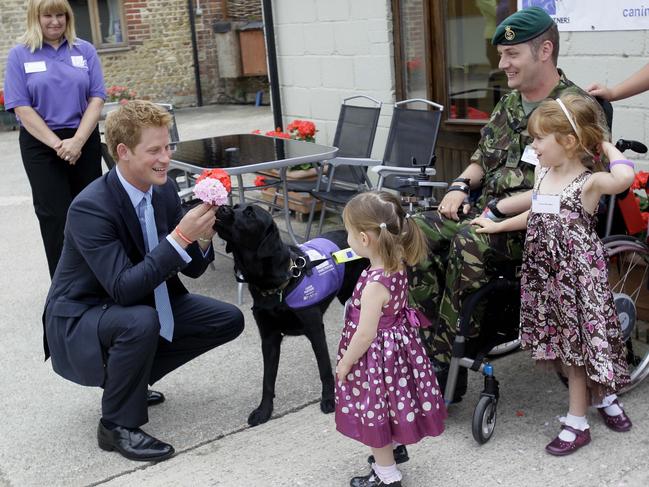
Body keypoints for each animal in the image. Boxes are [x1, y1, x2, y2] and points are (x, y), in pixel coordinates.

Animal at [213, 204, 364, 426]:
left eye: (250, 213)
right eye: (235, 207)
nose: (221, 207)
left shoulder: (315, 329)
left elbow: (324, 369)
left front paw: (329, 399)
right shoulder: (269, 338)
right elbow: (267, 380)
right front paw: (264, 410)